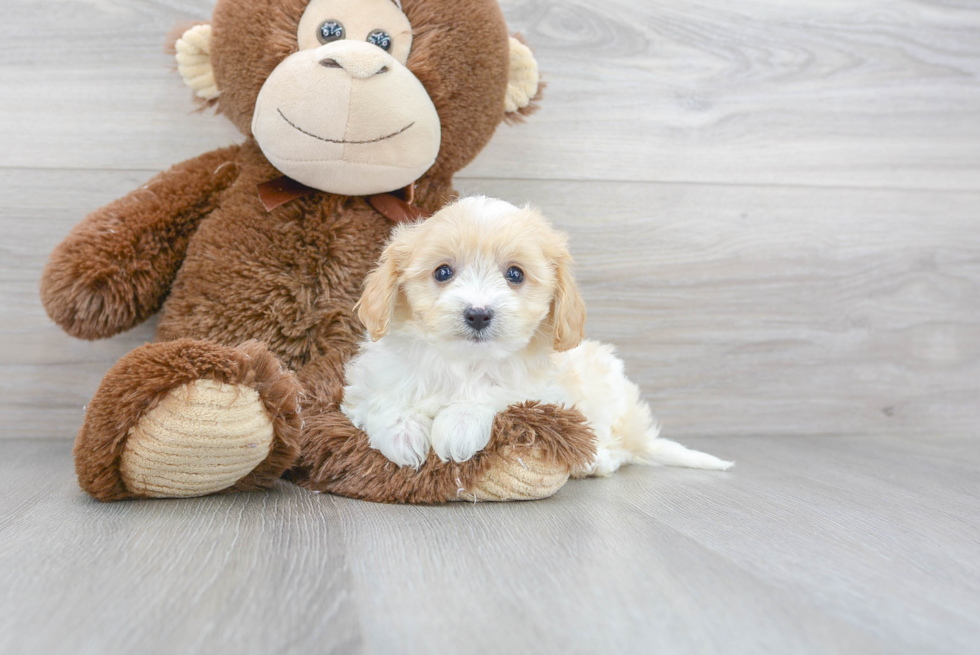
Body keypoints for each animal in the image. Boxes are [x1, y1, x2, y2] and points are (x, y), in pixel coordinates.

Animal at [340, 196, 732, 476]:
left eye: (515, 274)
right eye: (442, 272)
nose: (478, 314)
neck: (465, 362)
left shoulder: (545, 391)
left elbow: (498, 392)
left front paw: (459, 424)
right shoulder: (370, 378)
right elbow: (384, 397)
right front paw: (402, 433)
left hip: (606, 387)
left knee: (616, 449)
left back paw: (595, 461)